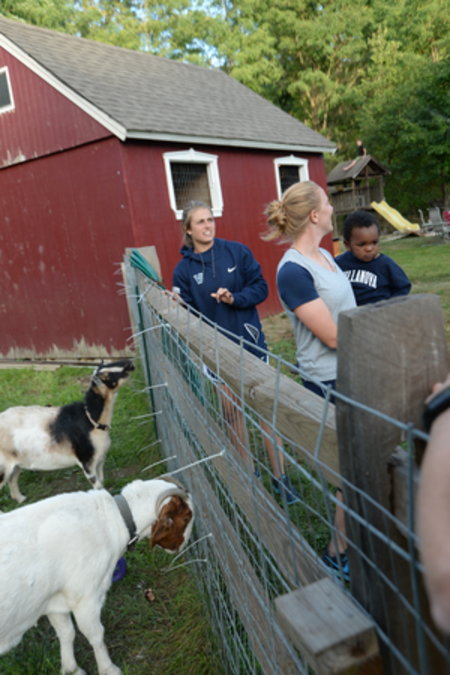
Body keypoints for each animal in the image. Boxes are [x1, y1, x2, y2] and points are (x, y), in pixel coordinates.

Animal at [0, 359, 134, 503]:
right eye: (106, 375)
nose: (130, 363)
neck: (90, 420)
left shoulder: (100, 459)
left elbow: (102, 481)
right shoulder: (86, 462)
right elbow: (98, 486)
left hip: (16, 464)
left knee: (12, 479)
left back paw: (21, 499)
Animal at [0, 477, 194, 675]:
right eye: (187, 517)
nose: (184, 544)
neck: (111, 520)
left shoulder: (54, 600)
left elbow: (66, 633)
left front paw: (71, 669)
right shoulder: (86, 599)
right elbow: (96, 635)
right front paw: (108, 668)